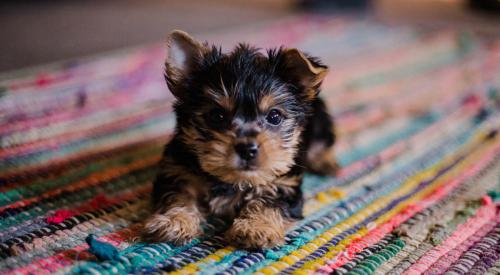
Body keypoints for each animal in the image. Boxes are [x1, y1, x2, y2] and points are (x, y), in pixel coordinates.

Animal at [142, 30, 336, 250]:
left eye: (274, 116)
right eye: (217, 116)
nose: (247, 149)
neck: (233, 180)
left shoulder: (284, 182)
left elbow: (268, 201)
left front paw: (256, 227)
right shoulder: (177, 170)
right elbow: (178, 195)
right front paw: (174, 221)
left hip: (320, 121)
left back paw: (325, 162)